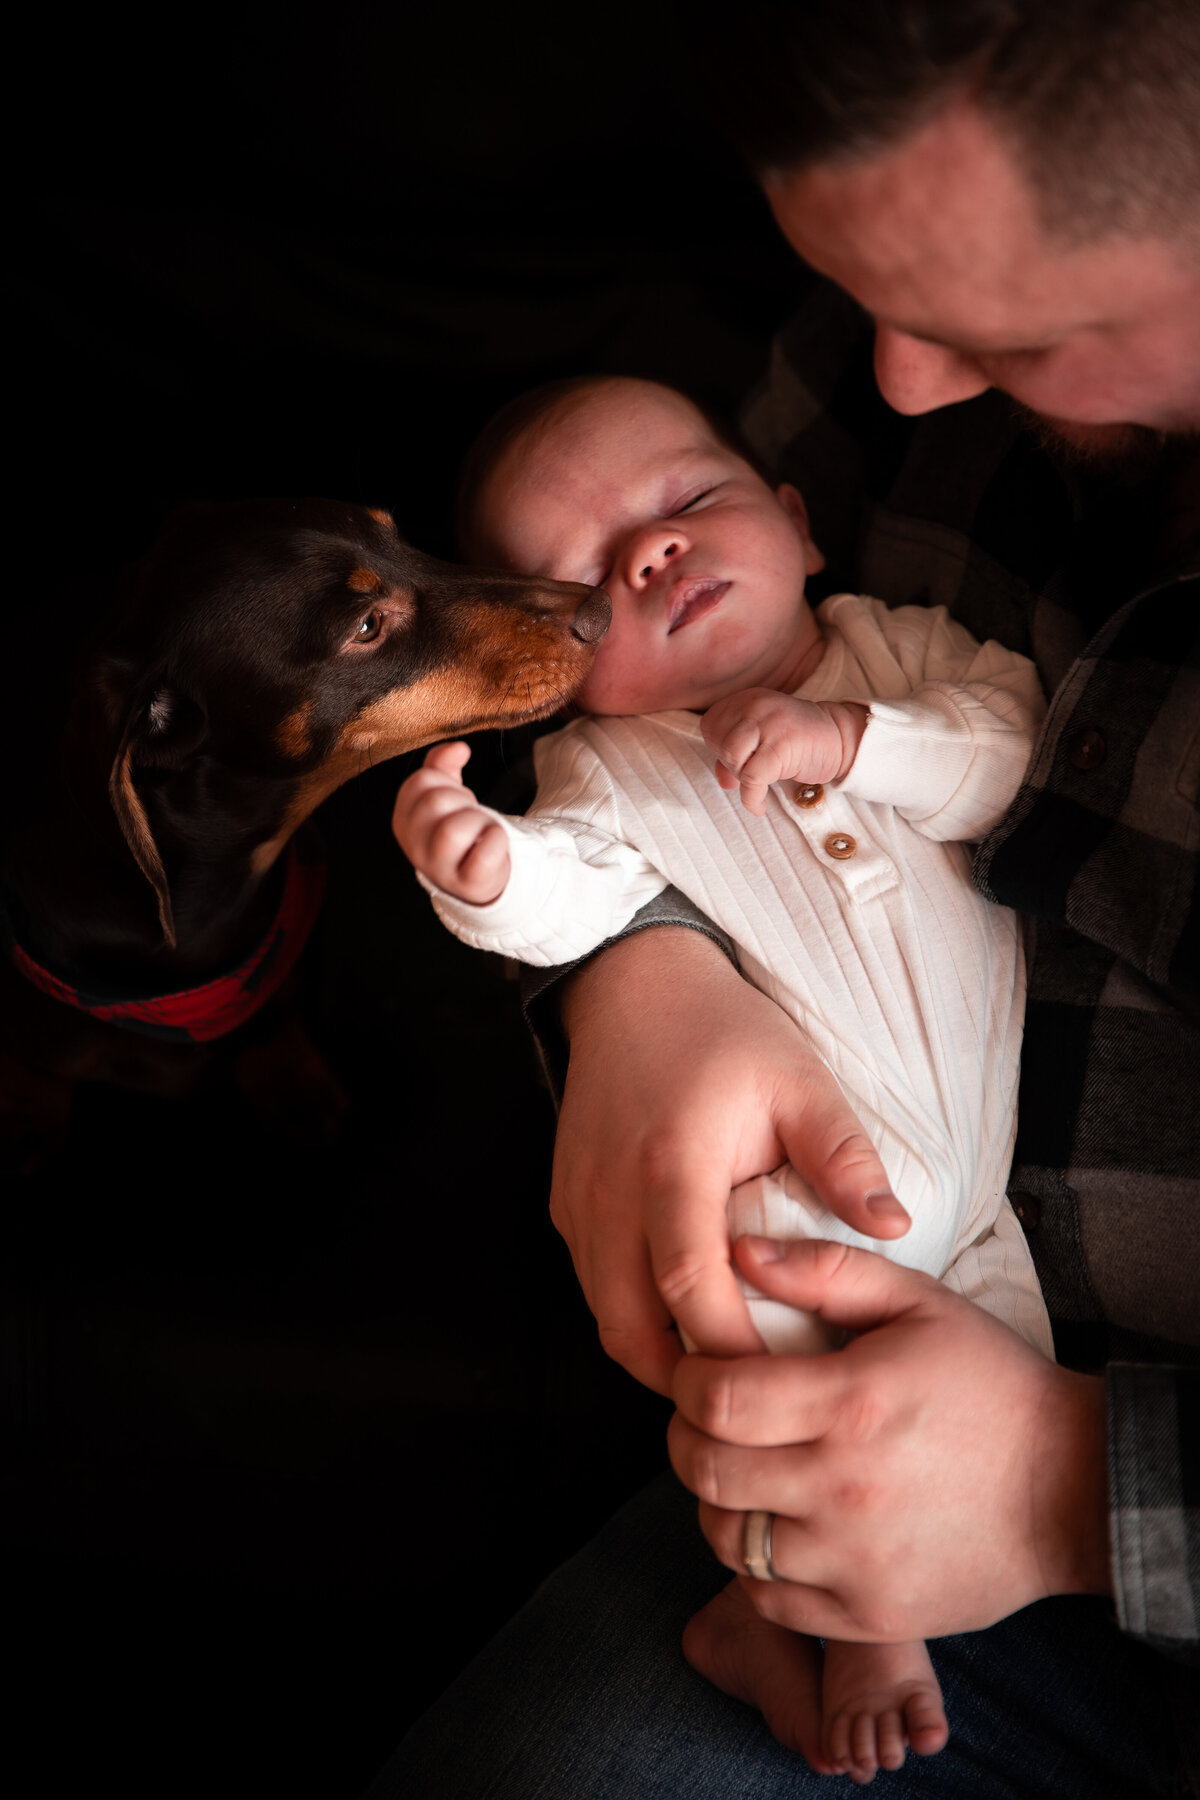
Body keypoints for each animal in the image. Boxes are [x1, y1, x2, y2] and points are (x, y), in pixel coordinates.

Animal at [2, 496, 611, 1166]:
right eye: (366, 626)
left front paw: (290, 1077)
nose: (602, 610)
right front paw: (27, 1126)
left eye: (400, 540)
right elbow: (34, 1074)